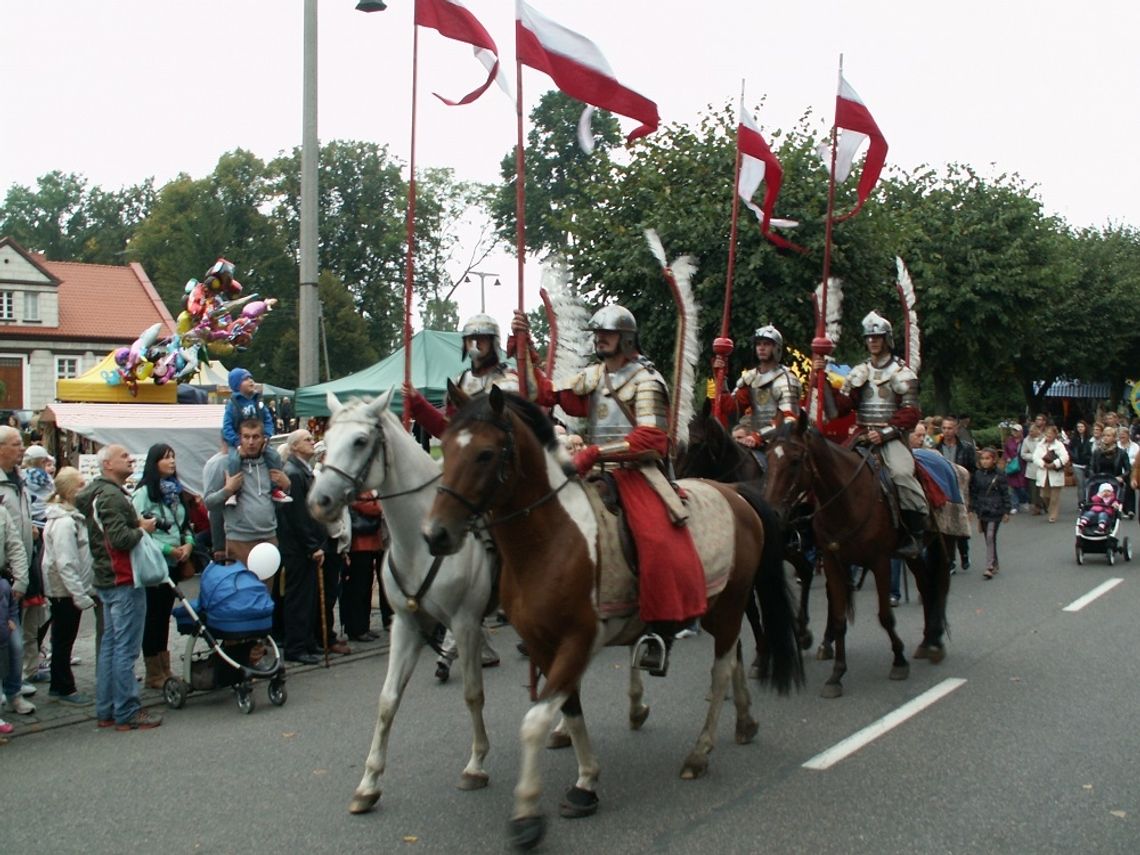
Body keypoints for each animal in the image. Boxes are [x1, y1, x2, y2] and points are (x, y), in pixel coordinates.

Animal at [305, 392, 497, 811]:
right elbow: (387, 700)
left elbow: (473, 693)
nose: (319, 501)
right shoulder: (408, 626)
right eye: (325, 436)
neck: (421, 542)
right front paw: (368, 783)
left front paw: (476, 764)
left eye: (360, 441)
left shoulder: (464, 621)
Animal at [421, 387, 802, 852]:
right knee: (733, 657)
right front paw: (586, 780)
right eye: (445, 449)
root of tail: (736, 494)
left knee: (719, 671)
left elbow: (534, 722)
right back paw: (745, 721)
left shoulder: (577, 640)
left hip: (728, 605)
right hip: (718, 607)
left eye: (485, 454)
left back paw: (699, 753)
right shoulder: (544, 643)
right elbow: (569, 709)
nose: (436, 535)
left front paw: (528, 814)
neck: (550, 539)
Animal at [766, 414, 953, 702]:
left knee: (934, 585)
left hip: (930, 543)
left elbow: (885, 616)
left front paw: (899, 661)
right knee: (925, 584)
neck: (846, 500)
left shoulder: (880, 562)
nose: (772, 514)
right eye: (768, 458)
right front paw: (836, 675)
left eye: (796, 460)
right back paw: (926, 641)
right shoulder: (834, 564)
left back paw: (933, 643)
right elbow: (840, 619)